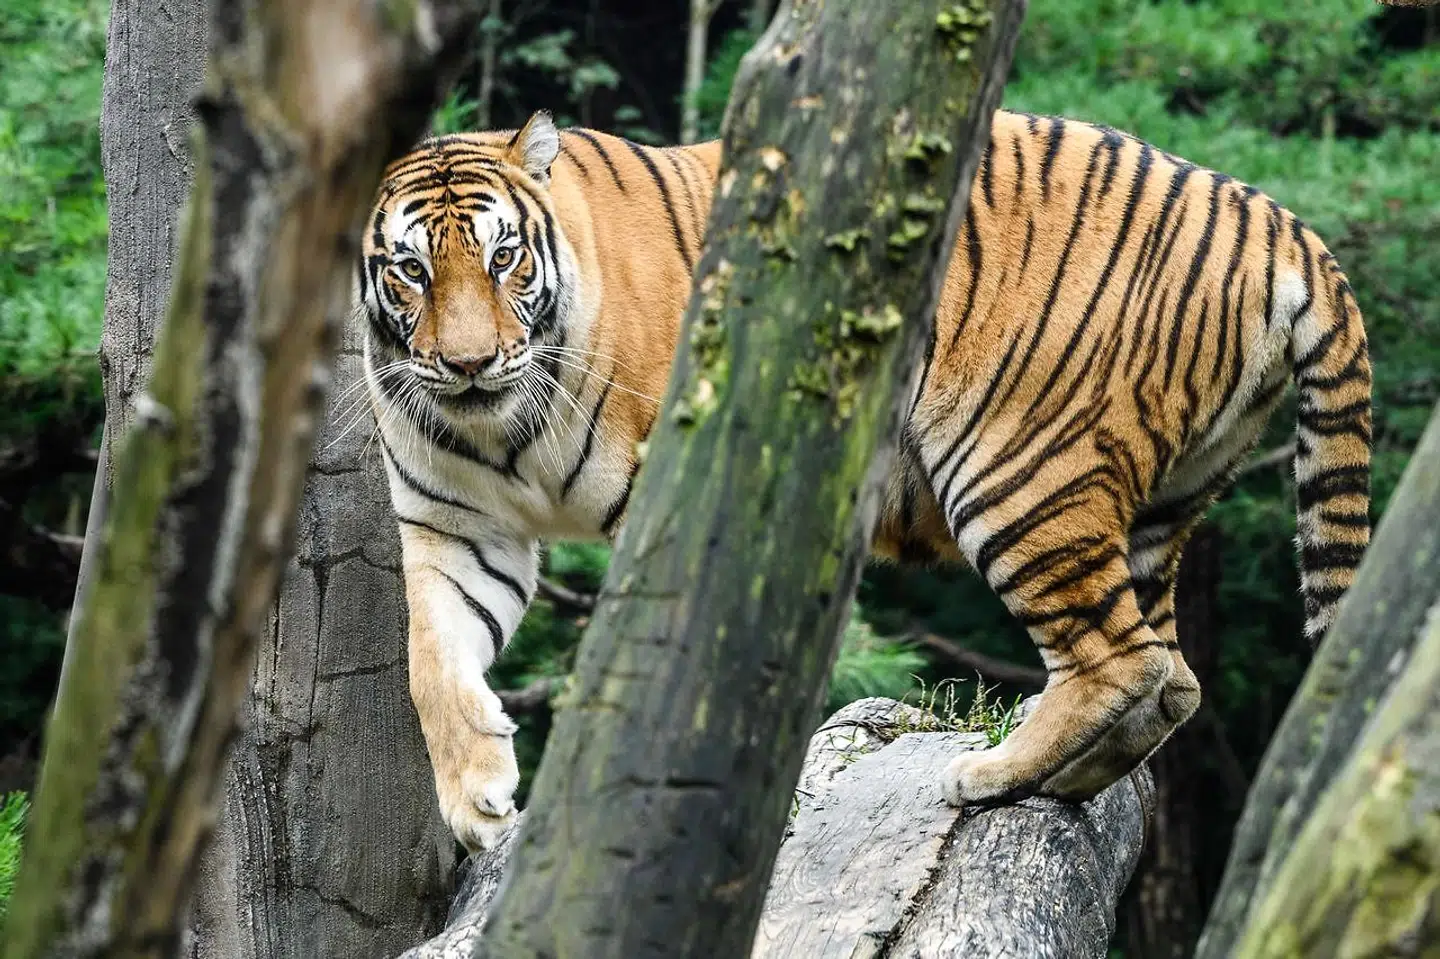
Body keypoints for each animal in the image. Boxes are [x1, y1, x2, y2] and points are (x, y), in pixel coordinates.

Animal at [357, 109, 1371, 852]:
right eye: (411, 270)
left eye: (504, 257)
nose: (469, 363)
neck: (499, 426)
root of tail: (1278, 222)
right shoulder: (457, 527)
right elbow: (431, 658)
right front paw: (478, 801)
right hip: (1160, 503)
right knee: (1171, 677)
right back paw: (1049, 778)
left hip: (1014, 466)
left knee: (1125, 659)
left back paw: (990, 773)